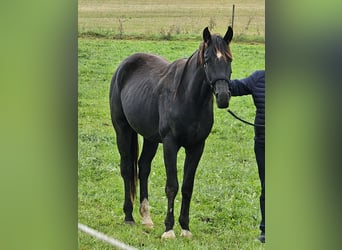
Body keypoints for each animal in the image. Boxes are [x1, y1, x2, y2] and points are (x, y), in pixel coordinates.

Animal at [109, 26, 232, 239]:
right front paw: (168, 229)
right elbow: (172, 186)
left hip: (150, 138)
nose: (223, 96)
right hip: (122, 130)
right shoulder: (170, 144)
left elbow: (187, 187)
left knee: (143, 168)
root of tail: (123, 67)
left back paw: (146, 218)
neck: (187, 97)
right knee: (126, 169)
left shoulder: (196, 147)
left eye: (229, 59)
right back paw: (129, 217)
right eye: (207, 60)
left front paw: (185, 228)